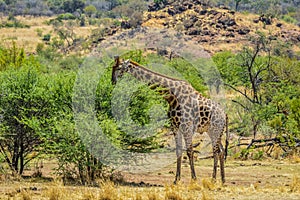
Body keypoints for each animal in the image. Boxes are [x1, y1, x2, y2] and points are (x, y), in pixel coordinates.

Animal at [111, 55, 229, 183]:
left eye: (119, 68)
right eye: (113, 67)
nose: (112, 82)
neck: (172, 96)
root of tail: (225, 115)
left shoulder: (187, 127)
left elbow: (190, 151)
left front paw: (194, 179)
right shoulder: (175, 126)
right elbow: (178, 151)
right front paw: (176, 179)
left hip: (215, 130)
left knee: (216, 151)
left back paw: (213, 179)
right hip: (213, 131)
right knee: (221, 150)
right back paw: (223, 180)